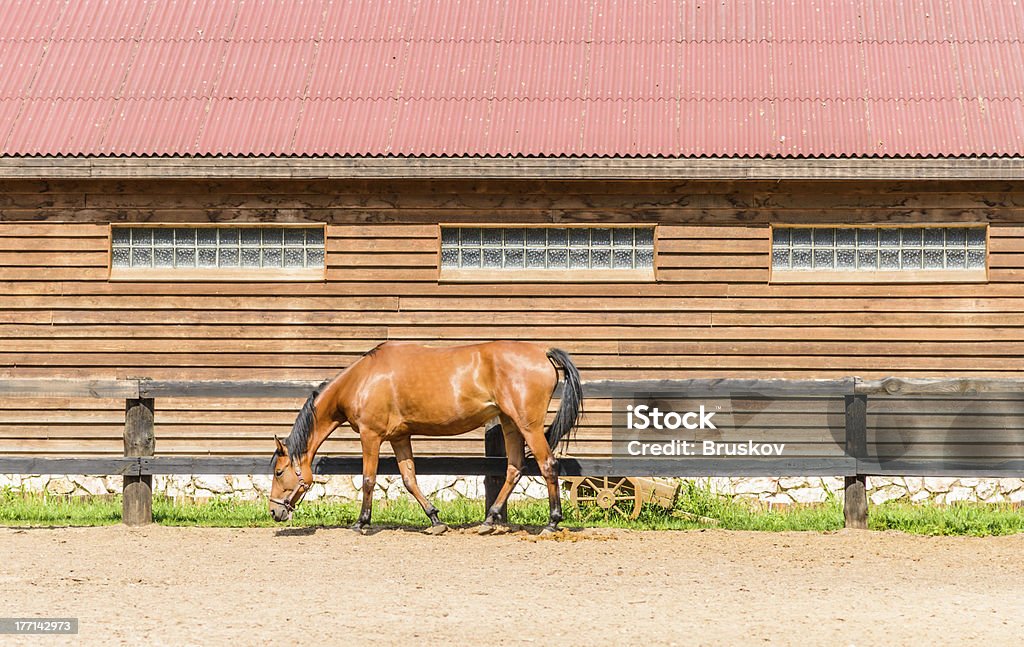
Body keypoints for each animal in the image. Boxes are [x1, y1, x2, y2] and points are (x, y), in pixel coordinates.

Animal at [268, 341, 581, 532]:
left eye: (279, 472)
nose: (273, 512)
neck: (362, 379)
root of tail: (542, 352)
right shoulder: (399, 437)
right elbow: (409, 479)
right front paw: (435, 519)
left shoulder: (371, 436)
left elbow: (368, 479)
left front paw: (361, 522)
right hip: (510, 424)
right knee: (514, 469)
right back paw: (489, 519)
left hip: (528, 426)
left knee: (547, 466)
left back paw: (552, 522)